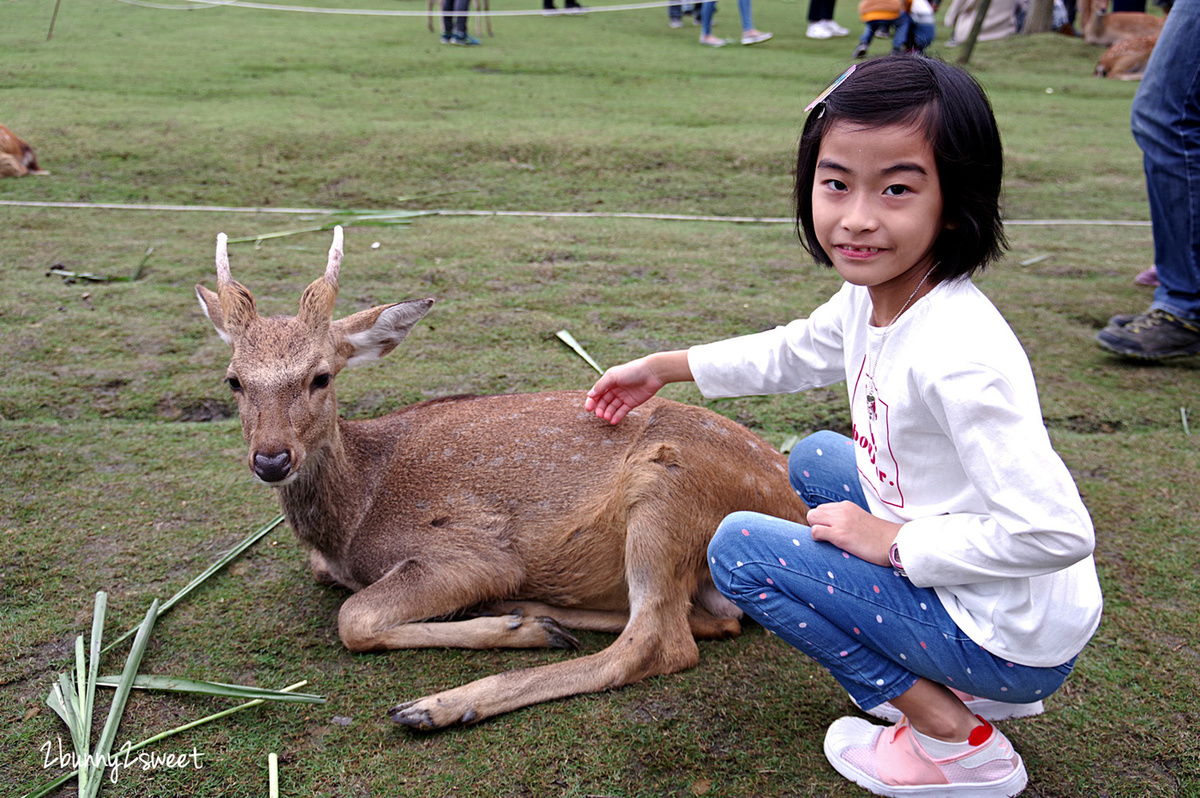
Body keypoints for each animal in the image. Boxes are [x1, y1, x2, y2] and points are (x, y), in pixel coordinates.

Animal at [196, 224, 811, 729]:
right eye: (233, 381)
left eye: (321, 376)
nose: (272, 459)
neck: (350, 521)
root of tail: (794, 502)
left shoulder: (471, 552)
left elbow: (354, 618)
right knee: (709, 621)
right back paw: (532, 614)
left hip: (668, 487)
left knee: (658, 642)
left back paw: (445, 701)